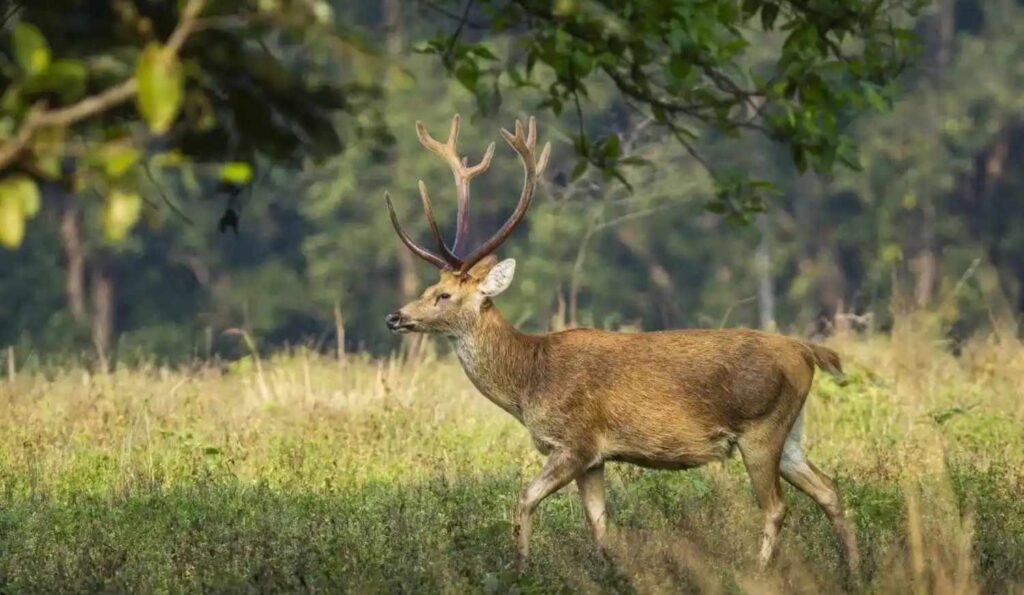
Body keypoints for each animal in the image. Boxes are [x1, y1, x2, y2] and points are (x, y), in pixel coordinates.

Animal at [383, 114, 861, 575]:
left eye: (443, 295)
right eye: (428, 287)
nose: (395, 316)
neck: (528, 382)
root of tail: (805, 351)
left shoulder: (575, 442)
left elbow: (525, 499)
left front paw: (521, 569)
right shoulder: (596, 458)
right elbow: (599, 522)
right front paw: (609, 572)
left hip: (760, 427)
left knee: (776, 506)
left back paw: (760, 572)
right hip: (791, 430)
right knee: (829, 489)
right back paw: (852, 568)